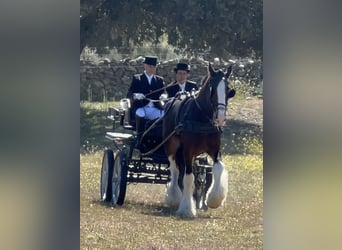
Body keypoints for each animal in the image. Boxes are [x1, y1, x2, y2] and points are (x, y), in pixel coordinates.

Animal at [162, 62, 234, 217]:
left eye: (228, 89)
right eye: (212, 88)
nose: (220, 118)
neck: (202, 117)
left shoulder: (215, 150)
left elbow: (218, 168)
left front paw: (214, 200)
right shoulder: (188, 151)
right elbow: (189, 178)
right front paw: (188, 209)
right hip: (171, 147)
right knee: (175, 171)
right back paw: (175, 198)